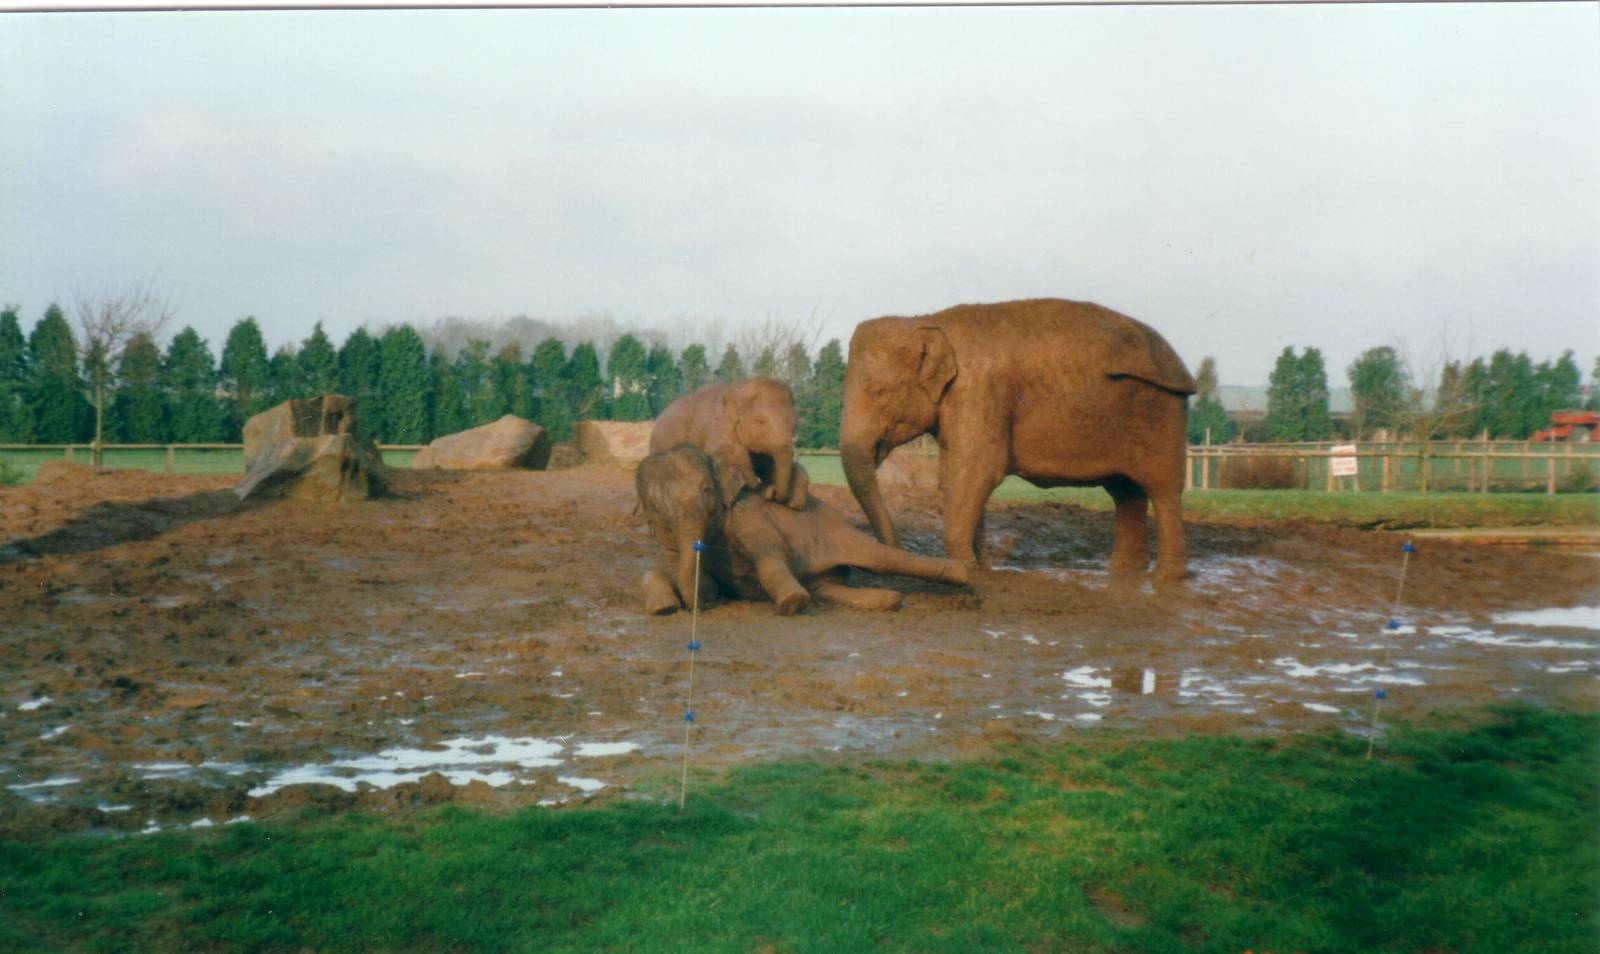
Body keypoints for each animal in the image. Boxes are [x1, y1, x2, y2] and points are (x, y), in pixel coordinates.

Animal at [636, 445, 969, 615]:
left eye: (707, 491)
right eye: (655, 506)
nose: (702, 606)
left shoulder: (748, 516)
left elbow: (770, 555)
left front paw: (792, 604)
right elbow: (674, 573)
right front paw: (666, 606)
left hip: (838, 531)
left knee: (881, 559)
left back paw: (964, 575)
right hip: (827, 577)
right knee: (831, 589)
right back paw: (891, 600)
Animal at [649, 377, 807, 509]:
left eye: (795, 423)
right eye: (760, 421)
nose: (770, 493)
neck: (740, 387)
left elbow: (769, 463)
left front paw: (794, 504)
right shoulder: (716, 426)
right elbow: (725, 450)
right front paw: (753, 483)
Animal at [839, 298, 1197, 580]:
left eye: (878, 392)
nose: (902, 551)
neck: (926, 320)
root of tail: (1180, 367)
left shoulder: (979, 390)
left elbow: (977, 471)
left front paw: (966, 570)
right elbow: (956, 475)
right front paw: (980, 568)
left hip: (1163, 412)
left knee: (1162, 489)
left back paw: (1166, 578)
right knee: (1126, 492)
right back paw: (1125, 575)